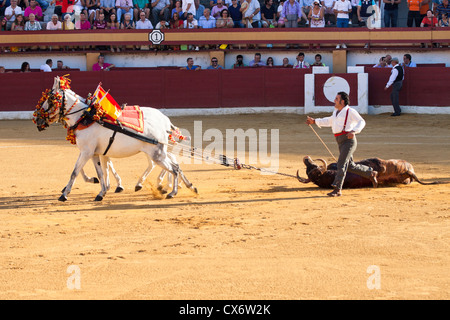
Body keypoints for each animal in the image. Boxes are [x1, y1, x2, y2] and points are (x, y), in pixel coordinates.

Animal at [34, 76, 196, 200]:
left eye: (50, 99)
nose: (37, 120)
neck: (86, 117)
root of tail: (164, 121)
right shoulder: (95, 153)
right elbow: (100, 172)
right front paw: (102, 191)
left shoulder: (87, 152)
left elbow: (76, 171)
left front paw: (64, 194)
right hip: (158, 153)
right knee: (174, 165)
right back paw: (186, 186)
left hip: (157, 154)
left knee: (173, 168)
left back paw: (171, 191)